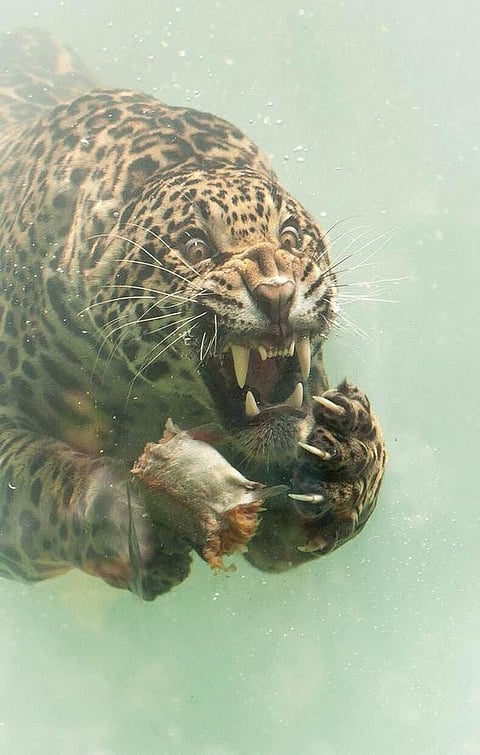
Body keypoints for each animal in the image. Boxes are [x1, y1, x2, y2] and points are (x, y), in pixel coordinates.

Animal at [0, 28, 386, 600]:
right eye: (197, 246)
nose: (277, 293)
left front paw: (349, 457)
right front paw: (121, 517)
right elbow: (38, 479)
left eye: (290, 236)